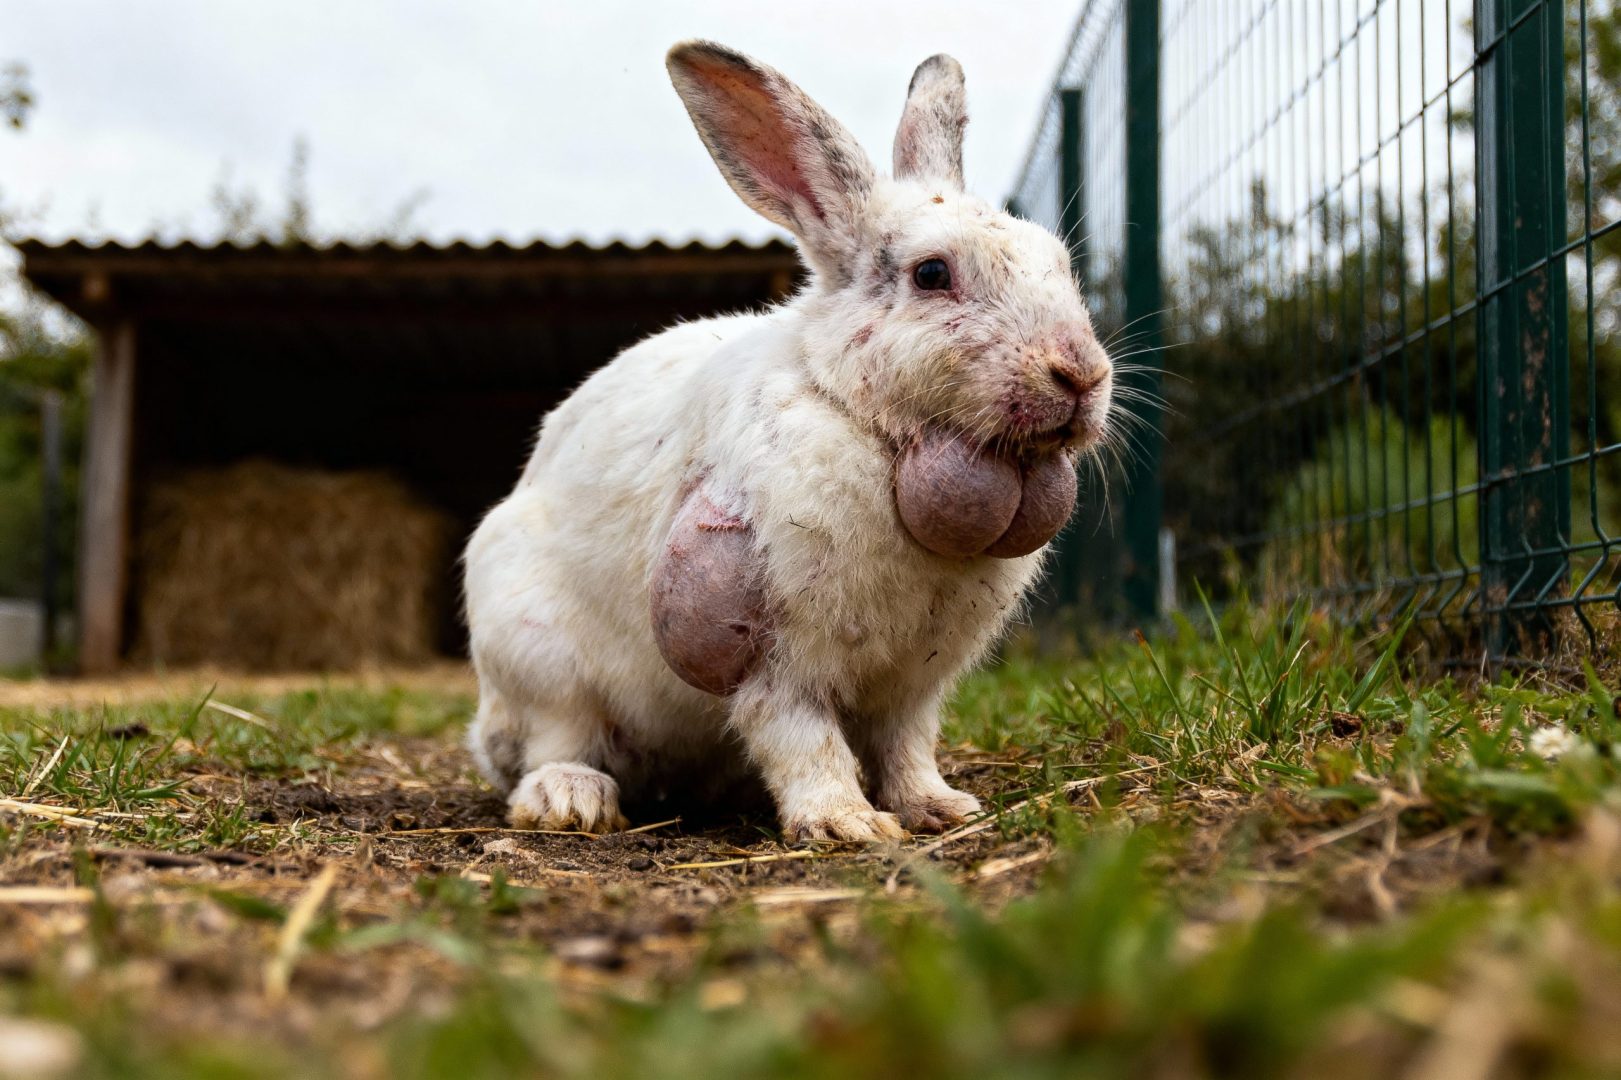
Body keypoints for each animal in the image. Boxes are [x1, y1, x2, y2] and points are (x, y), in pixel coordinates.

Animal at [462, 41, 1113, 842]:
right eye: (932, 273)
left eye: (1058, 262)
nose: (1081, 374)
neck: (870, 429)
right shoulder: (773, 658)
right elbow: (802, 738)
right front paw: (847, 824)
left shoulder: (914, 683)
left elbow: (907, 745)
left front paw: (938, 807)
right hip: (533, 649)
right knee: (554, 740)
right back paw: (571, 798)